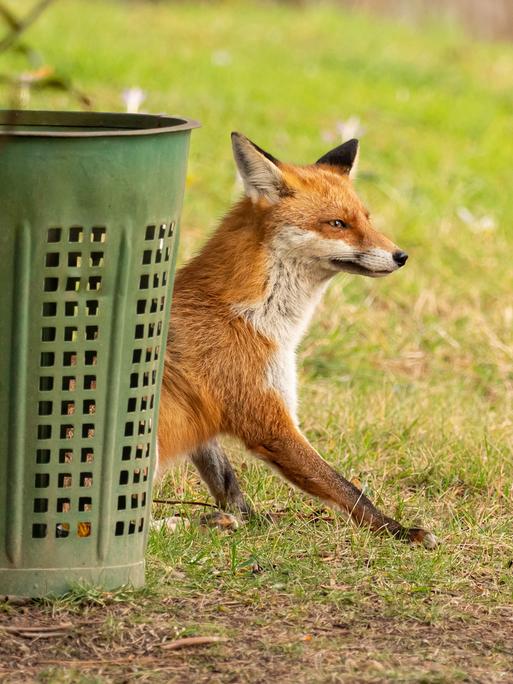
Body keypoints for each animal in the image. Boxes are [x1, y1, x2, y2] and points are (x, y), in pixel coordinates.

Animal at [156, 132, 437, 549]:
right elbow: (349, 490)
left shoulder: (210, 420)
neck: (252, 316)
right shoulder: (269, 420)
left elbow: (227, 482)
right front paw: (400, 532)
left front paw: (253, 520)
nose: (401, 256)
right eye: (337, 223)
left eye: (366, 219)